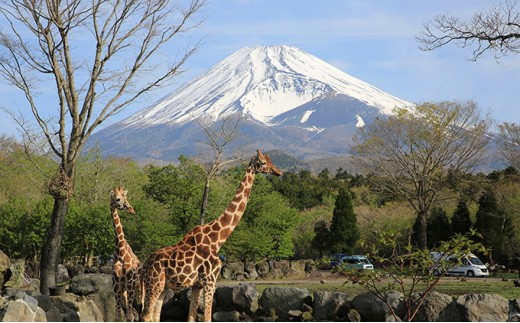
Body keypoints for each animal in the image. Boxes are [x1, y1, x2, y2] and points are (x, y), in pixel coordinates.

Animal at [140, 151, 282, 322]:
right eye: (262, 162)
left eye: (270, 160)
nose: (278, 172)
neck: (217, 240)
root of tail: (143, 267)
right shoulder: (210, 279)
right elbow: (207, 317)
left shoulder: (197, 284)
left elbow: (191, 317)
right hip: (154, 284)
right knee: (145, 316)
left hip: (163, 286)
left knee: (155, 316)